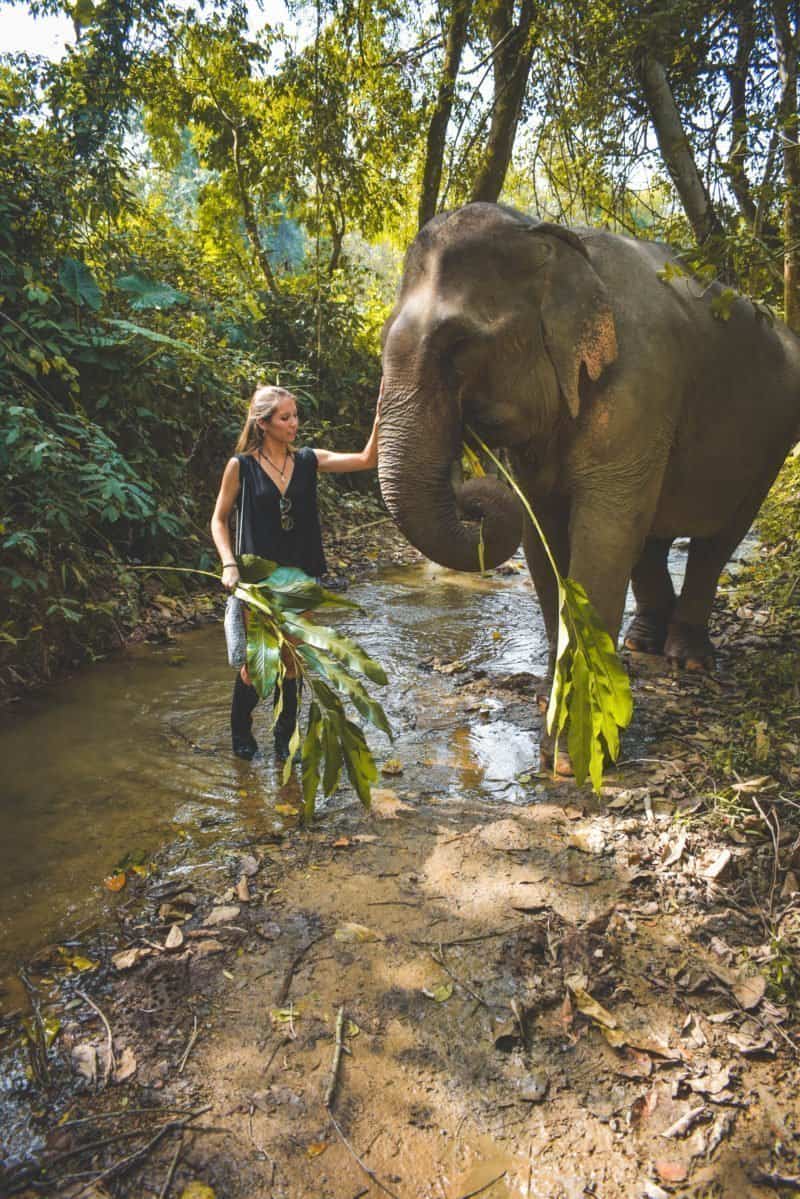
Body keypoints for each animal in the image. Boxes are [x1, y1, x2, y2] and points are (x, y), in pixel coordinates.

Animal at [379, 202, 800, 762]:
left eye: (460, 344)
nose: (471, 491)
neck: (555, 242)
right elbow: (542, 537)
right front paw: (552, 709)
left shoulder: (642, 382)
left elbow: (603, 534)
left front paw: (575, 749)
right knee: (651, 535)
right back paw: (643, 642)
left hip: (771, 442)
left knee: (716, 539)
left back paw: (687, 658)